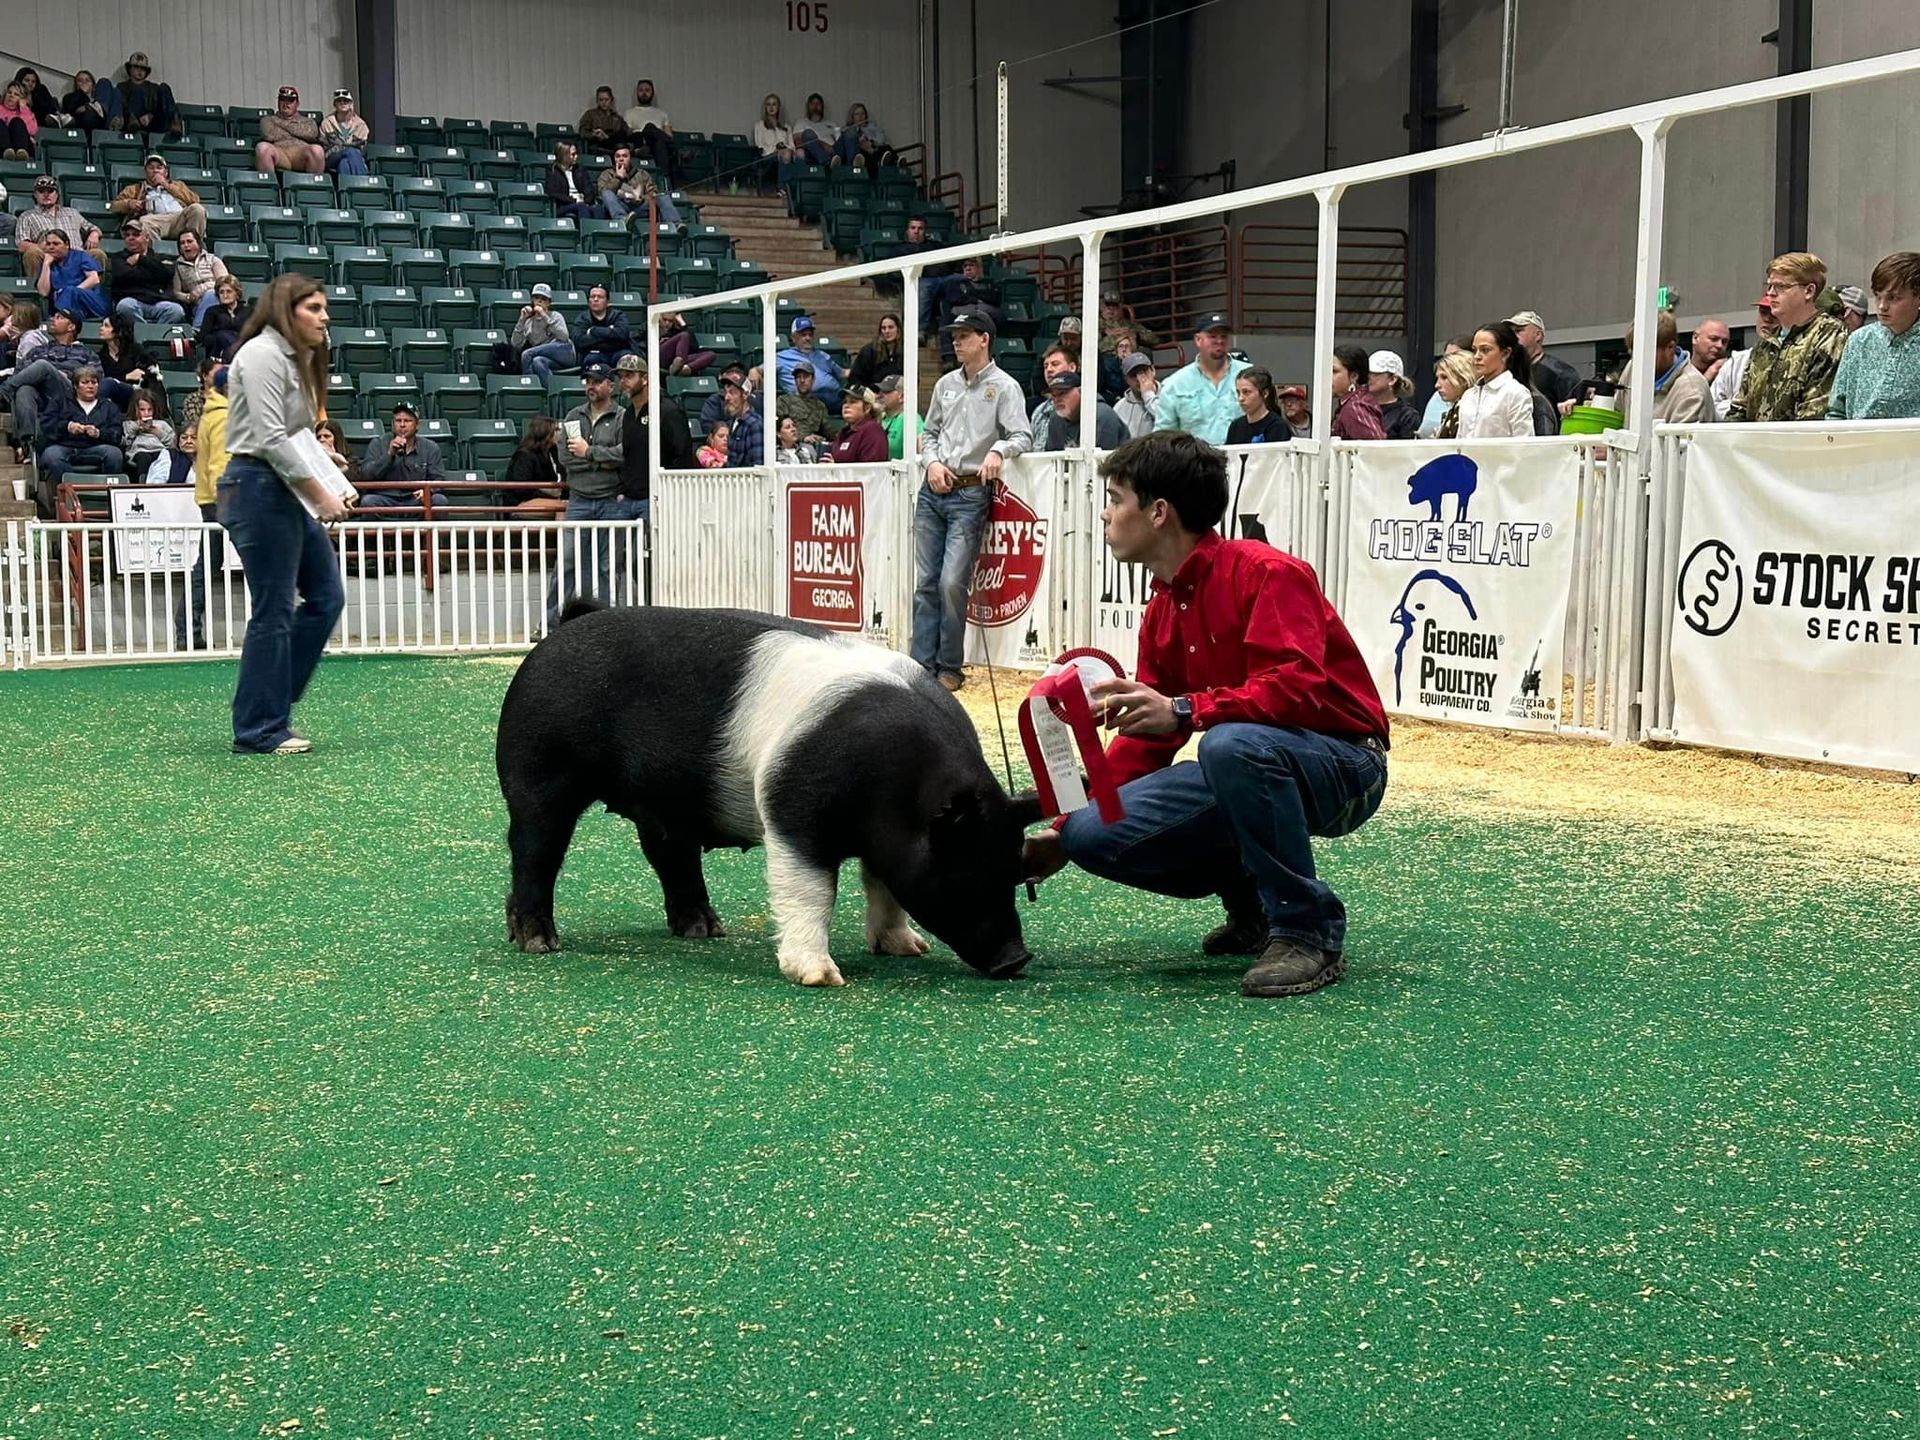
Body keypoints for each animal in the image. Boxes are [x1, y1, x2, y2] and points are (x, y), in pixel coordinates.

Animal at [491, 602, 1036, 990]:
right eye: (967, 867)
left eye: (1015, 871)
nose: (1017, 959)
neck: (901, 794)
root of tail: (560, 632)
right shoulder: (794, 810)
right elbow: (811, 891)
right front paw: (821, 978)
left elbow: (881, 885)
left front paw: (908, 948)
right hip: (536, 771)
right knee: (534, 851)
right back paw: (539, 943)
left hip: (663, 807)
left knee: (670, 855)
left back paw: (706, 930)